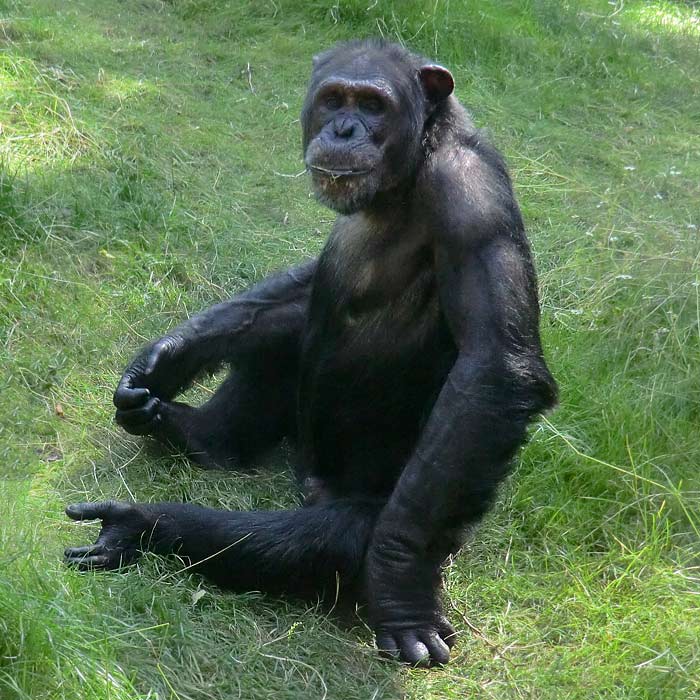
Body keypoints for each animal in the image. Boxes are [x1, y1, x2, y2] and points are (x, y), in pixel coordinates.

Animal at [65, 39, 556, 668]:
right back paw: (195, 430)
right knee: (283, 330)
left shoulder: (472, 200)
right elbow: (302, 288)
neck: (414, 164)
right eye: (334, 99)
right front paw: (163, 360)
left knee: (335, 534)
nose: (344, 128)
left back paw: (142, 526)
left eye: (372, 104)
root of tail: (308, 477)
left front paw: (400, 592)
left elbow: (493, 366)